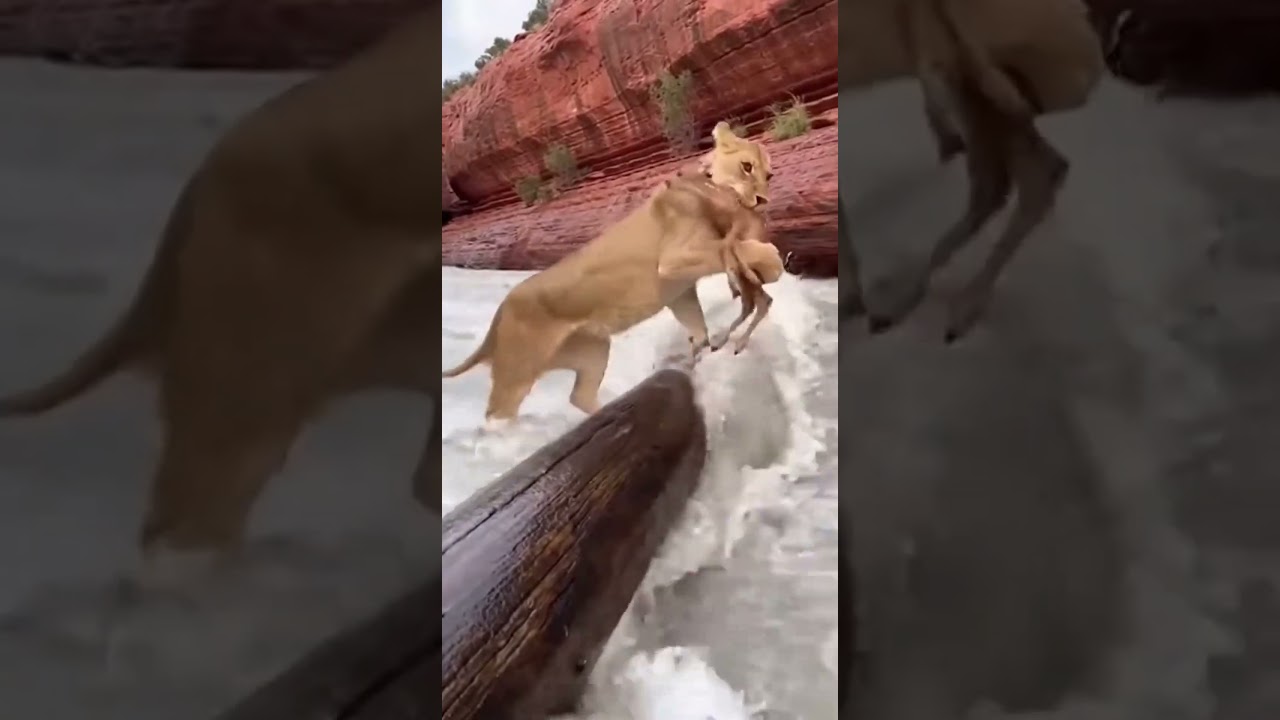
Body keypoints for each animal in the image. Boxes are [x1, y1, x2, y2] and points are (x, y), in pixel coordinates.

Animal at [442, 123, 772, 421]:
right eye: (746, 167)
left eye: (768, 175)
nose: (763, 200)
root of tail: (500, 312)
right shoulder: (674, 258)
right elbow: (735, 247)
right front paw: (767, 260)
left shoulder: (680, 291)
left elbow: (697, 326)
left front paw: (705, 346)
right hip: (518, 370)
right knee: (496, 413)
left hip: (593, 350)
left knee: (579, 396)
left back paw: (610, 414)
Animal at [839, 0, 1105, 341]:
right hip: (971, 81)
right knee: (1018, 176)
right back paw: (906, 304)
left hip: (967, 64)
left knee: (1019, 176)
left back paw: (948, 309)